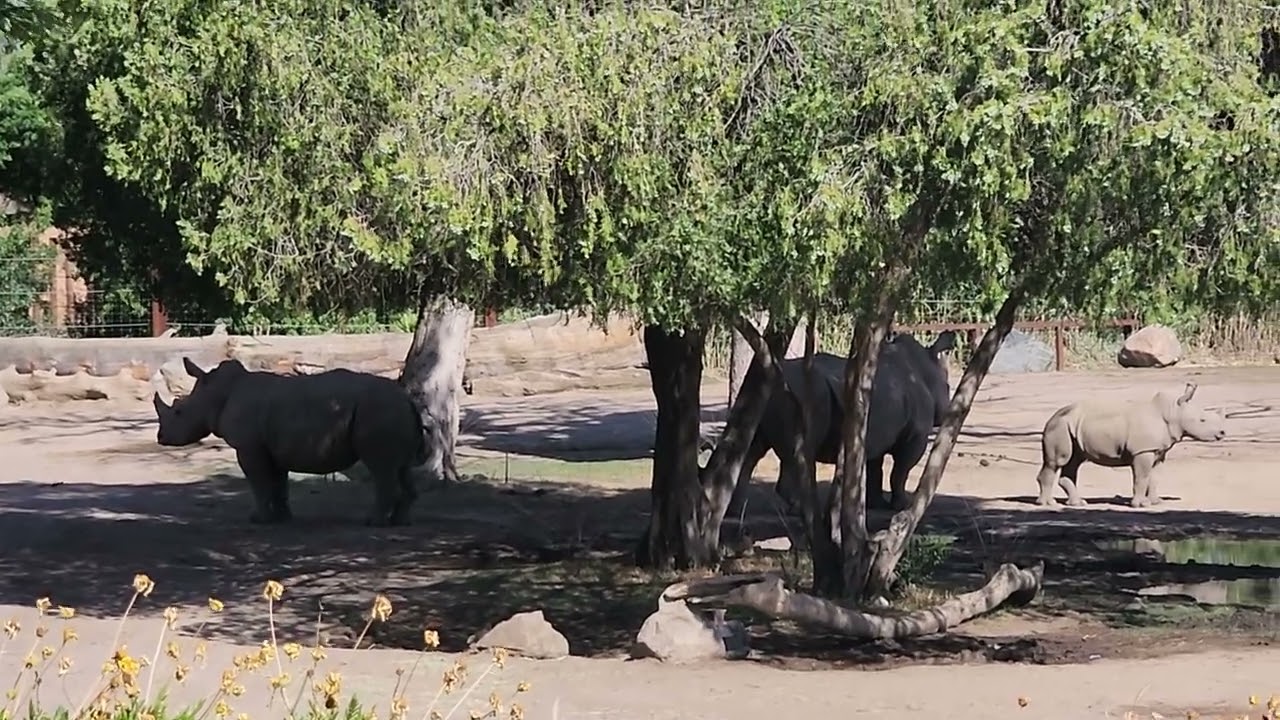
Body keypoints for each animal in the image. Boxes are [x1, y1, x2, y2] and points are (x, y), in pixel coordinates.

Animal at [152, 357, 439, 526]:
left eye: (179, 411)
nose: (161, 438)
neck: (215, 393)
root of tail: (407, 399)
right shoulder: (273, 448)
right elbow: (279, 484)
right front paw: (282, 518)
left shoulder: (249, 447)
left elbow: (259, 483)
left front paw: (258, 519)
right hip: (390, 411)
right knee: (400, 467)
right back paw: (401, 522)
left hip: (378, 410)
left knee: (381, 468)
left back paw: (373, 523)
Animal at [728, 330, 957, 514]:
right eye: (948, 388)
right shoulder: (916, 434)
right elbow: (901, 470)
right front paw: (901, 505)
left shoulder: (874, 431)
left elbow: (875, 468)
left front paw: (876, 505)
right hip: (804, 395)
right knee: (797, 453)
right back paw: (798, 510)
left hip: (761, 395)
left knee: (751, 449)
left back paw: (736, 510)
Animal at [1033, 381, 1226, 509]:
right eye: (1202, 420)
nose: (1223, 433)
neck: (1172, 412)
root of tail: (1050, 418)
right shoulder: (1142, 451)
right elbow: (1142, 477)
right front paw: (1141, 505)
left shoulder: (1158, 450)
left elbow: (1154, 477)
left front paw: (1156, 502)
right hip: (1058, 426)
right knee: (1058, 461)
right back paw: (1048, 504)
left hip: (1069, 426)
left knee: (1074, 461)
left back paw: (1078, 504)